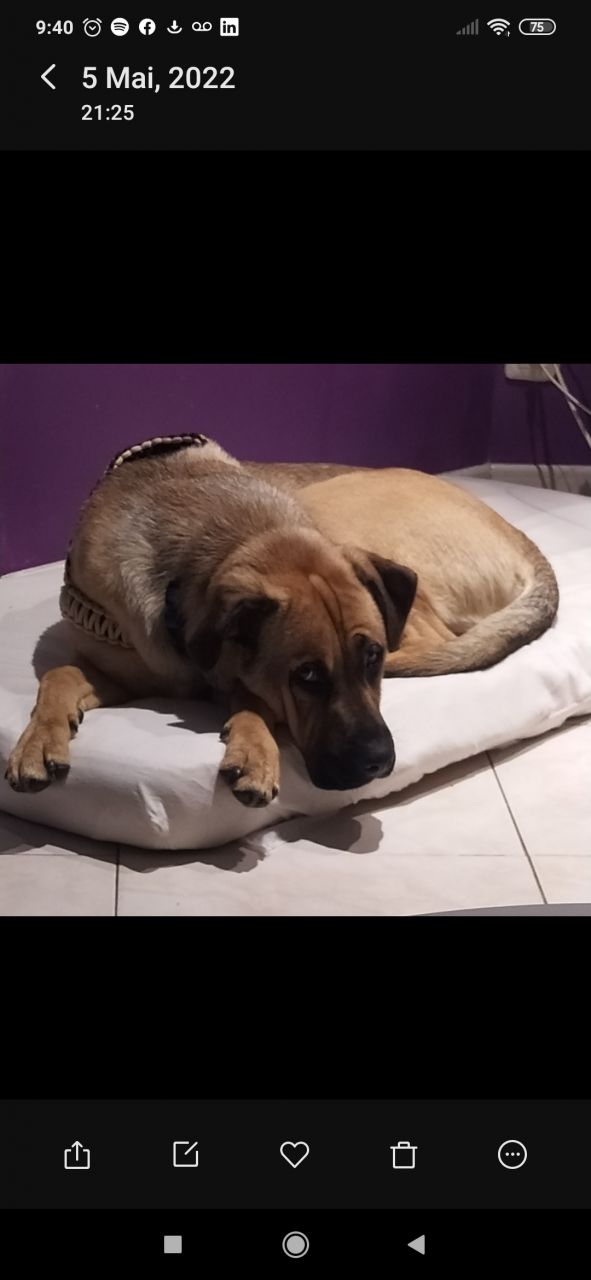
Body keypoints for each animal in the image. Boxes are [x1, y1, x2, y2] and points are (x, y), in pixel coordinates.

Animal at [5, 434, 559, 806]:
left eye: (373, 658)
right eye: (307, 676)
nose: (380, 760)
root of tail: (518, 537)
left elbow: (251, 700)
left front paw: (254, 748)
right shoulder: (116, 672)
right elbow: (59, 675)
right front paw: (38, 740)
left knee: (434, 638)